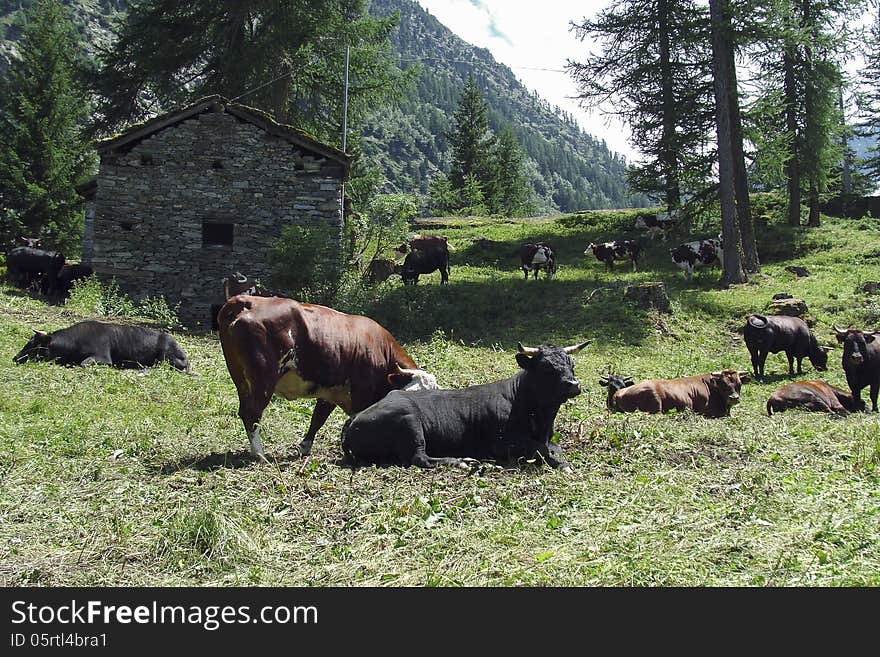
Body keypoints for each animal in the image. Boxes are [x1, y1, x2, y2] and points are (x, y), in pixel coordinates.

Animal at [218, 294, 438, 458]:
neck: (381, 349)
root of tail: (247, 300)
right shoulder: (361, 392)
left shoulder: (331, 393)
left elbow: (318, 419)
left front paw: (304, 447)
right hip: (264, 379)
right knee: (252, 413)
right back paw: (259, 454)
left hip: (240, 379)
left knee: (244, 411)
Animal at [340, 338, 588, 472]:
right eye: (546, 367)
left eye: (572, 364)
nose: (573, 384)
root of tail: (354, 418)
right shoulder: (501, 444)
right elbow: (540, 449)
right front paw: (561, 465)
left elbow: (553, 448)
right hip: (409, 423)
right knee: (419, 458)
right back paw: (461, 461)